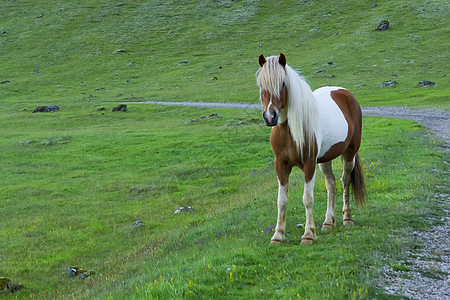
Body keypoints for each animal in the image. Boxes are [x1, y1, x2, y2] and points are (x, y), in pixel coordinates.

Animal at [256, 54, 366, 245]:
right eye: (262, 84)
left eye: (283, 83)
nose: (270, 117)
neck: (290, 130)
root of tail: (345, 93)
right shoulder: (281, 165)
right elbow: (281, 200)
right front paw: (278, 235)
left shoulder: (309, 164)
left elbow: (307, 199)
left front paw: (308, 235)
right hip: (325, 159)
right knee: (331, 183)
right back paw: (328, 222)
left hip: (349, 154)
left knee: (345, 181)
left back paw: (347, 218)